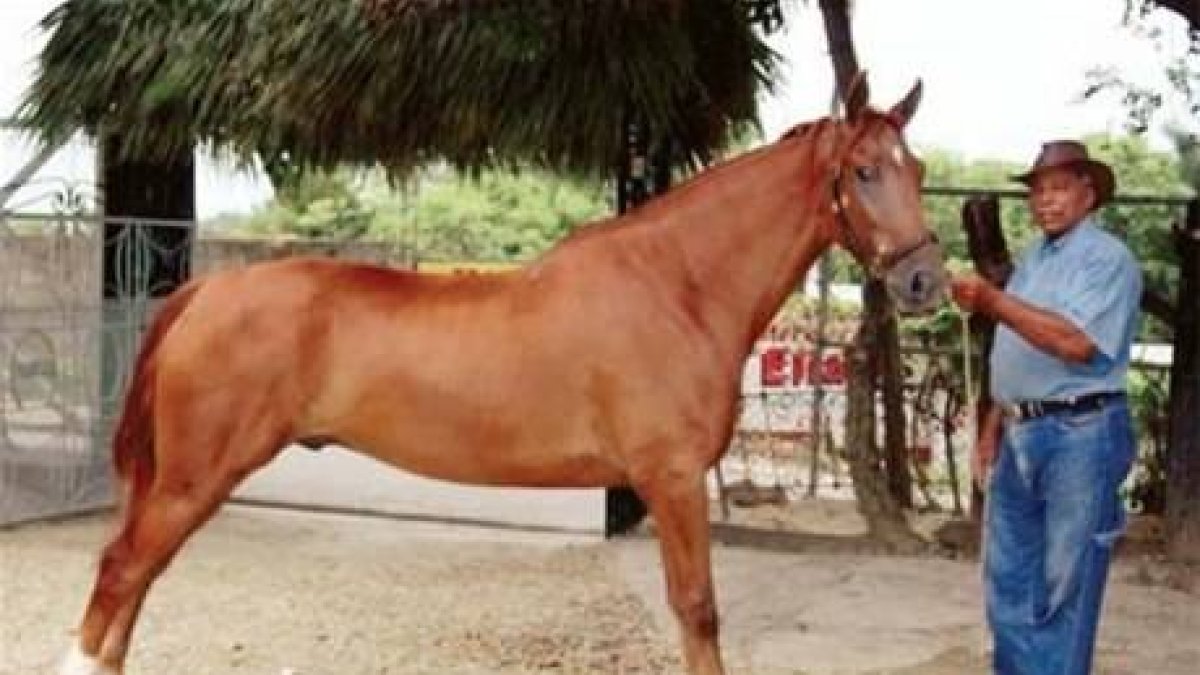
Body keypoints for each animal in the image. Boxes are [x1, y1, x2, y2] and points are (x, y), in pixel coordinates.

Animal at [61, 73, 945, 675]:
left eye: (919, 170)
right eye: (864, 171)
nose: (924, 281)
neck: (677, 284)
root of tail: (204, 289)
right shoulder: (673, 479)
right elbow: (698, 609)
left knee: (136, 578)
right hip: (194, 478)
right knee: (120, 571)